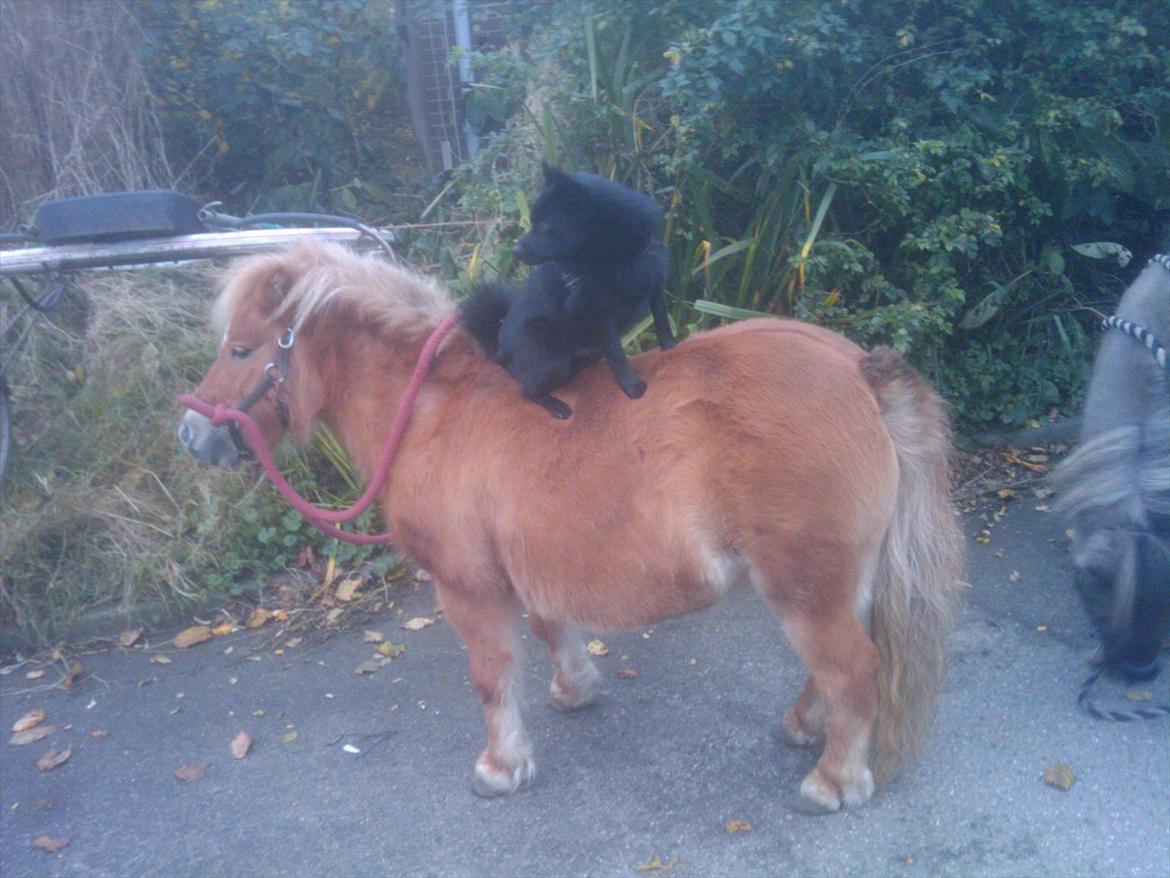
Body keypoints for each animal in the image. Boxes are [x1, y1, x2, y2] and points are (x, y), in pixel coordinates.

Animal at [180, 242, 959, 819]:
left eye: (242, 349)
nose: (192, 435)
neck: (433, 410)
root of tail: (859, 370)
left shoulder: (467, 588)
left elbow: (492, 675)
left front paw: (502, 765)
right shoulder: (530, 561)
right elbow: (551, 626)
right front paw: (576, 689)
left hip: (805, 589)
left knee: (853, 669)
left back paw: (833, 781)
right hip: (837, 583)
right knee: (839, 664)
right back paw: (806, 727)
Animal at [458, 169, 678, 423]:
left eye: (544, 226)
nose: (515, 250)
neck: (619, 259)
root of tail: (501, 352)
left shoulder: (655, 283)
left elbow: (661, 319)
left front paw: (670, 345)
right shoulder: (600, 312)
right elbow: (617, 352)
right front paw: (631, 386)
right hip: (550, 354)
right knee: (527, 391)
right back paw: (555, 405)